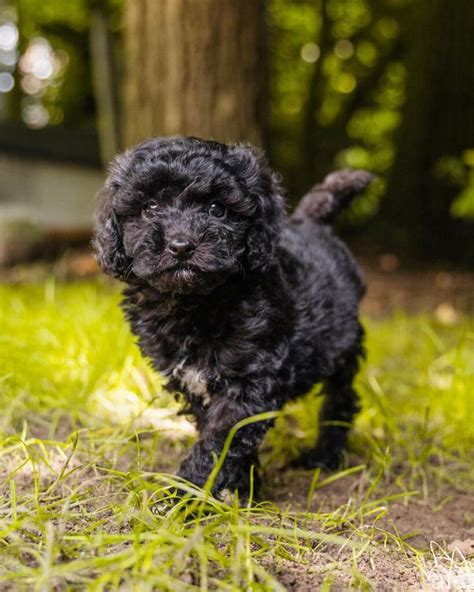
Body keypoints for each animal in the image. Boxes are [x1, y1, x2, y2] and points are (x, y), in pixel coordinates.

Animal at [93, 138, 374, 500]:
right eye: (150, 207)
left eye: (217, 209)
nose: (181, 245)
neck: (195, 303)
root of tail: (313, 223)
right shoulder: (193, 382)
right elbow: (218, 434)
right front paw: (243, 487)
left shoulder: (251, 378)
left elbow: (220, 440)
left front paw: (185, 497)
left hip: (341, 343)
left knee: (341, 397)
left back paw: (324, 455)